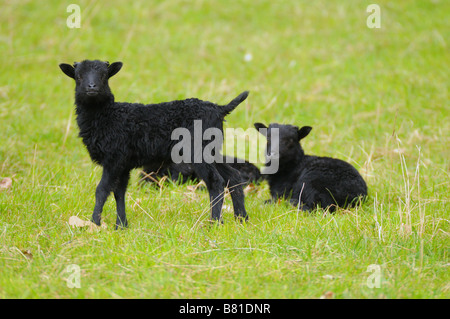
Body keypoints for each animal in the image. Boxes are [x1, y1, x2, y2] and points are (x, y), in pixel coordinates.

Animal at [59, 60, 250, 229]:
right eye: (78, 76)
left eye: (104, 76)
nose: (92, 87)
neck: (107, 116)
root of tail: (220, 109)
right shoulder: (123, 163)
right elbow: (119, 192)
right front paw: (121, 226)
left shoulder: (114, 159)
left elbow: (102, 190)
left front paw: (94, 223)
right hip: (211, 149)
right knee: (233, 176)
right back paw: (241, 219)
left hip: (198, 150)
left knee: (215, 181)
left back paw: (214, 223)